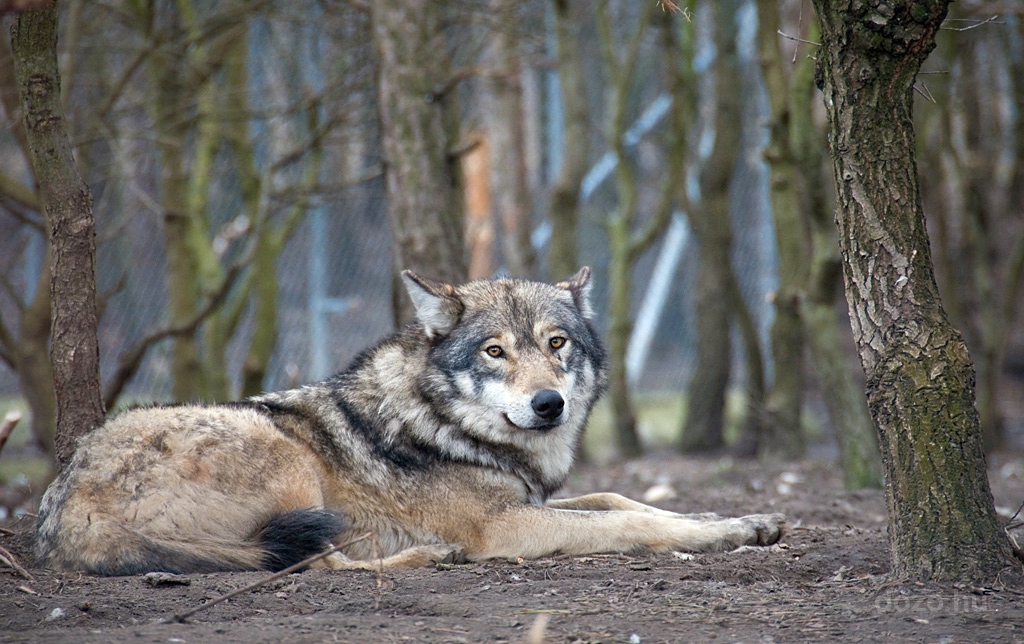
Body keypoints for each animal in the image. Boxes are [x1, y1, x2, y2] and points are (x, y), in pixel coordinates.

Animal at [34, 266, 782, 573]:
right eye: (495, 351)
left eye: (556, 344)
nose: (549, 404)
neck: (447, 423)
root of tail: (63, 511)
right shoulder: (505, 525)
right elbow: (629, 522)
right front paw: (726, 532)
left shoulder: (534, 500)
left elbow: (624, 499)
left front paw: (742, 519)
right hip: (284, 455)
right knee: (311, 563)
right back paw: (428, 554)